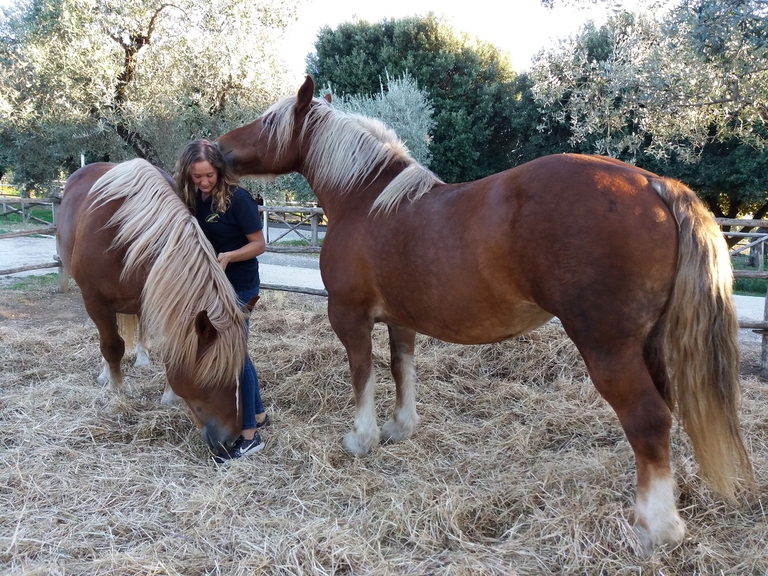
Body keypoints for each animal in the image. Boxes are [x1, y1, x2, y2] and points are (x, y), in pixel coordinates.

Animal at [57, 158, 255, 457]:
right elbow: (111, 346)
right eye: (213, 378)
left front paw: (168, 396)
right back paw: (106, 374)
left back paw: (140, 357)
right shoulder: (94, 300)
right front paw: (118, 391)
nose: (231, 441)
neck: (127, 233)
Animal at [215, 76, 754, 553]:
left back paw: (655, 527)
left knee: (647, 420)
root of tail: (653, 184)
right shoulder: (402, 320)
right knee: (663, 415)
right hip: (648, 345)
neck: (365, 202)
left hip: (608, 349)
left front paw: (361, 438)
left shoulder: (350, 317)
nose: (217, 148)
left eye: (268, 121)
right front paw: (399, 429)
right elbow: (402, 369)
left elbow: (363, 374)